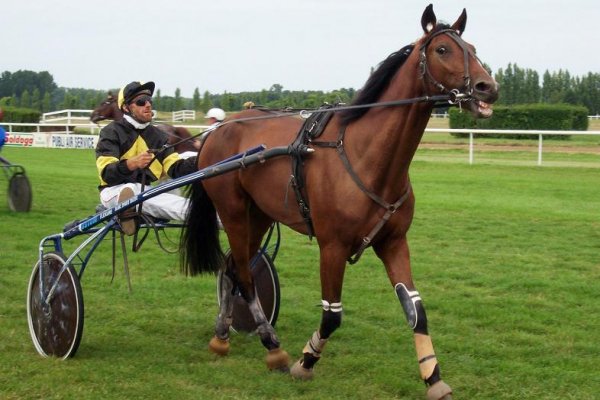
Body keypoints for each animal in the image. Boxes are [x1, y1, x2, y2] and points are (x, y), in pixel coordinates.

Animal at [182, 4, 496, 398]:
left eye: (472, 47)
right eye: (443, 49)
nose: (488, 87)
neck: (367, 155)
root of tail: (216, 131)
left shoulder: (394, 241)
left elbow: (416, 310)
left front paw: (433, 376)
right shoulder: (332, 246)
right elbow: (332, 314)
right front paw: (305, 362)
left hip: (260, 215)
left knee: (230, 267)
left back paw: (222, 336)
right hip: (234, 212)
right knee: (244, 274)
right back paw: (271, 346)